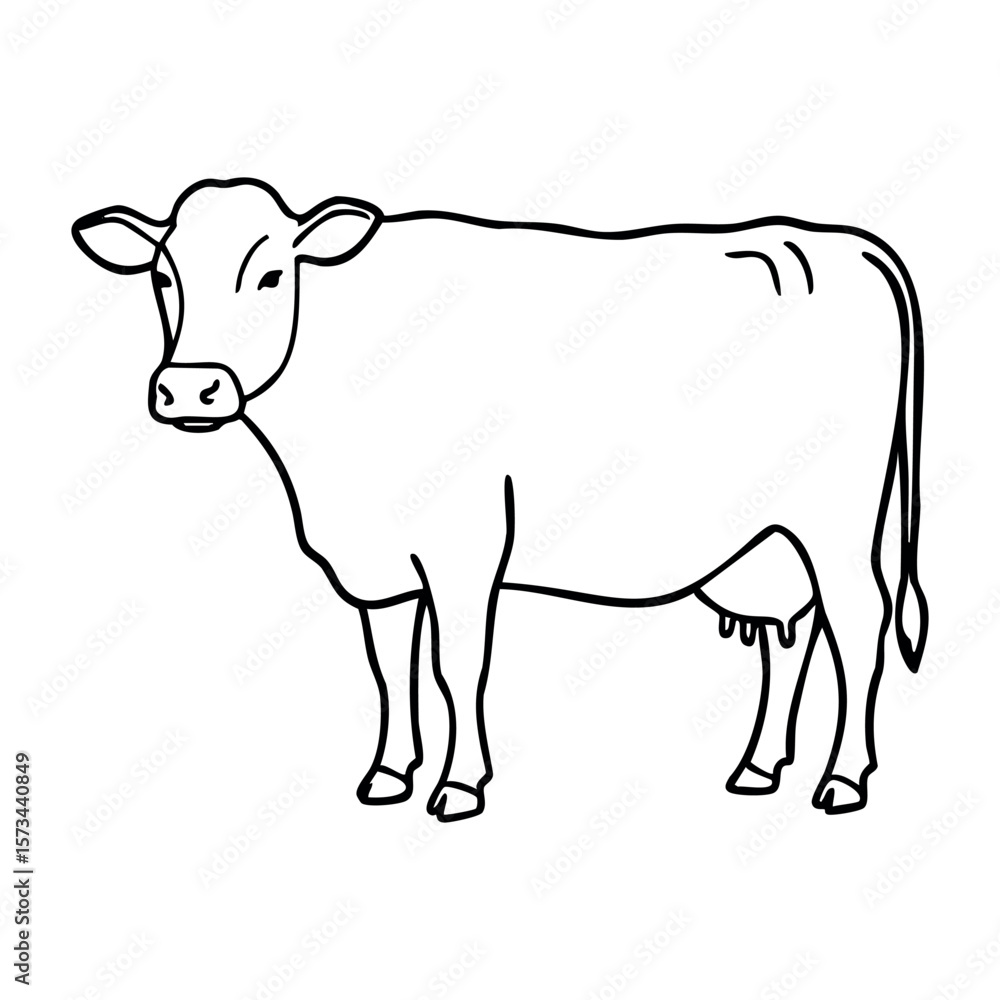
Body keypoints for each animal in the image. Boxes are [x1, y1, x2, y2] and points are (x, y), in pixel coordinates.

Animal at [73, 177, 928, 822]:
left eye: (272, 274)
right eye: (162, 278)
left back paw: (842, 779)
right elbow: (391, 670)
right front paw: (389, 774)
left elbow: (457, 667)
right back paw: (758, 768)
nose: (191, 388)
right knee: (793, 636)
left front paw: (458, 785)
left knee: (859, 627)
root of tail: (837, 240)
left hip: (839, 520)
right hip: (769, 541)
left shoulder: (466, 545)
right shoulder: (380, 568)